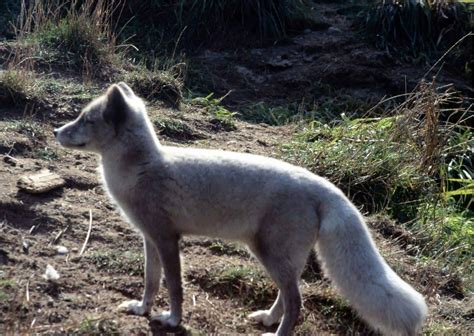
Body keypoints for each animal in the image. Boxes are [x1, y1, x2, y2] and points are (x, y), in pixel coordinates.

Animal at [53, 82, 428, 336]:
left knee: (297, 302)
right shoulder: (149, 239)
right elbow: (151, 281)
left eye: (85, 120)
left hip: (270, 254)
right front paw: (142, 309)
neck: (143, 167)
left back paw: (276, 332)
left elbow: (174, 286)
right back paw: (267, 319)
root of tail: (325, 186)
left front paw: (172, 320)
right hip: (278, 257)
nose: (56, 130)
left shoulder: (168, 239)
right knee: (290, 295)